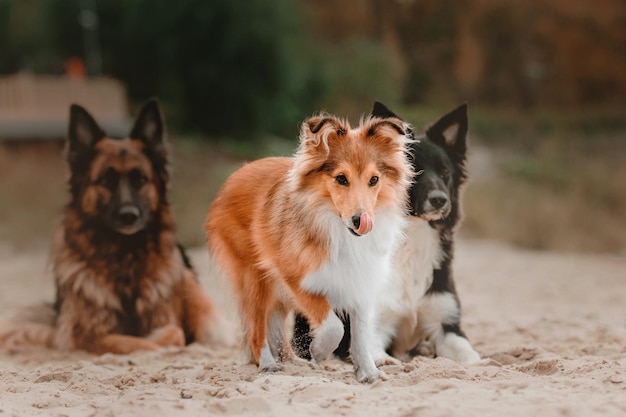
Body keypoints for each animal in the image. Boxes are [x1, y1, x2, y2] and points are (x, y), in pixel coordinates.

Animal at [0, 99, 229, 352]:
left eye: (140, 180)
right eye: (105, 181)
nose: (129, 216)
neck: (123, 255)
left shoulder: (166, 318)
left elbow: (173, 334)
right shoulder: (85, 334)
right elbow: (132, 342)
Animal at [202, 112, 412, 382]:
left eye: (374, 180)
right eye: (341, 178)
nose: (361, 221)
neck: (335, 227)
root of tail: (235, 175)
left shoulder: (360, 280)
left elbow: (361, 334)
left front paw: (368, 373)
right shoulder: (298, 280)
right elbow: (334, 326)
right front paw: (319, 351)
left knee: (273, 325)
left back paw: (292, 362)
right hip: (254, 279)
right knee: (256, 328)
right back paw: (268, 363)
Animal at [292, 102, 478, 366]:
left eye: (445, 173)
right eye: (415, 171)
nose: (440, 200)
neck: (415, 236)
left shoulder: (447, 323)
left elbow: (470, 355)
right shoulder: (375, 323)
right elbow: (376, 352)